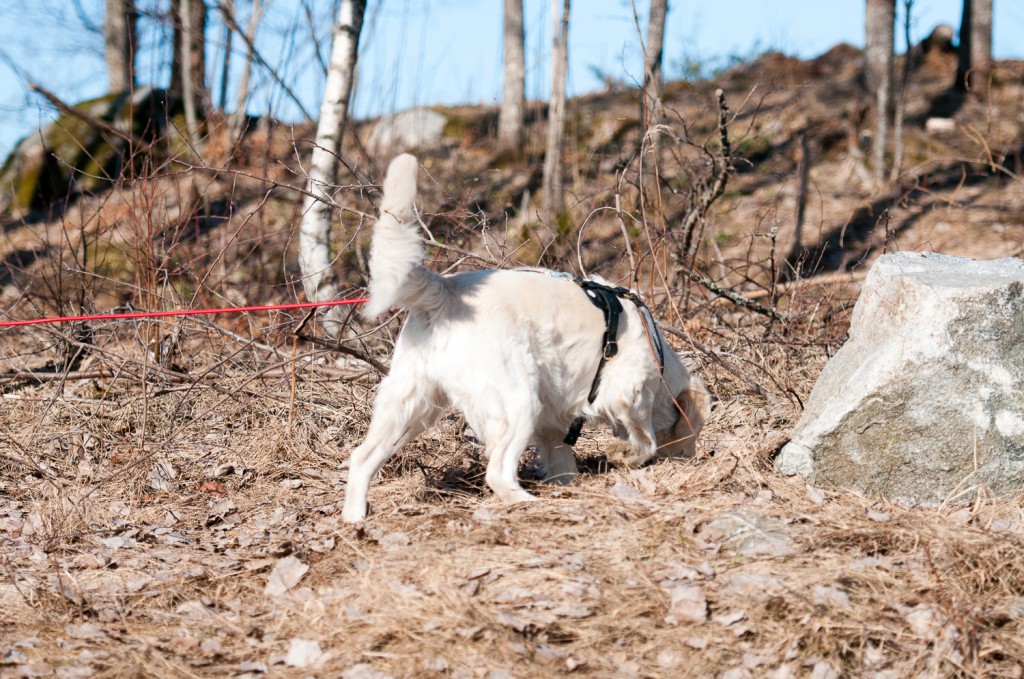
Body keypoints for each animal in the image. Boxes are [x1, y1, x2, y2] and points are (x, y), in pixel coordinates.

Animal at [339, 155, 708, 524]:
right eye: (695, 432)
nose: (693, 459)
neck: (659, 354)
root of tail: (444, 288)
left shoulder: (555, 421)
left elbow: (563, 460)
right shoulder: (628, 391)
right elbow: (645, 439)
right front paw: (625, 454)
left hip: (409, 405)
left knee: (361, 459)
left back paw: (355, 518)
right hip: (516, 401)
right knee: (498, 473)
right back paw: (528, 503)